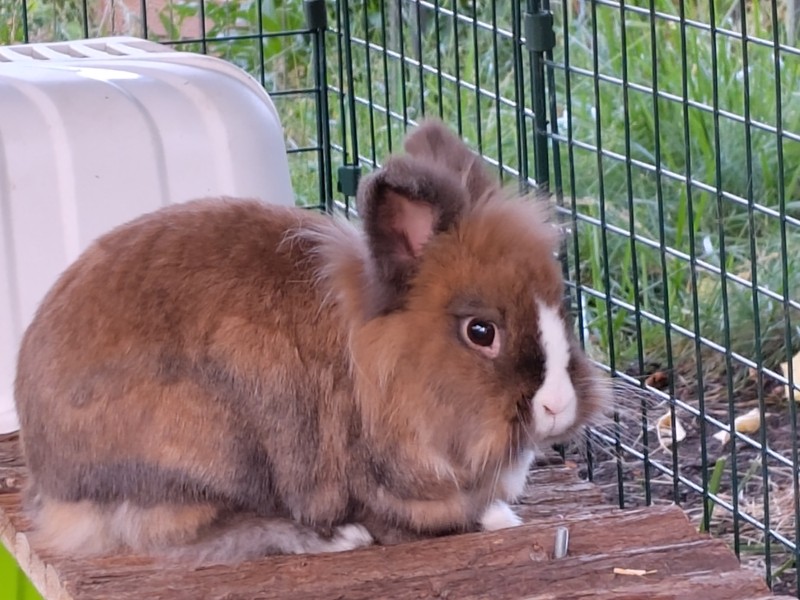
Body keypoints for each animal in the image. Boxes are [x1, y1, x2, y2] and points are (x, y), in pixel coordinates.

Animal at [14, 119, 609, 565]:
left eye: (561, 307)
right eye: (481, 332)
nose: (559, 406)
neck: (383, 368)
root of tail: (55, 481)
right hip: (206, 451)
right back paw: (336, 540)